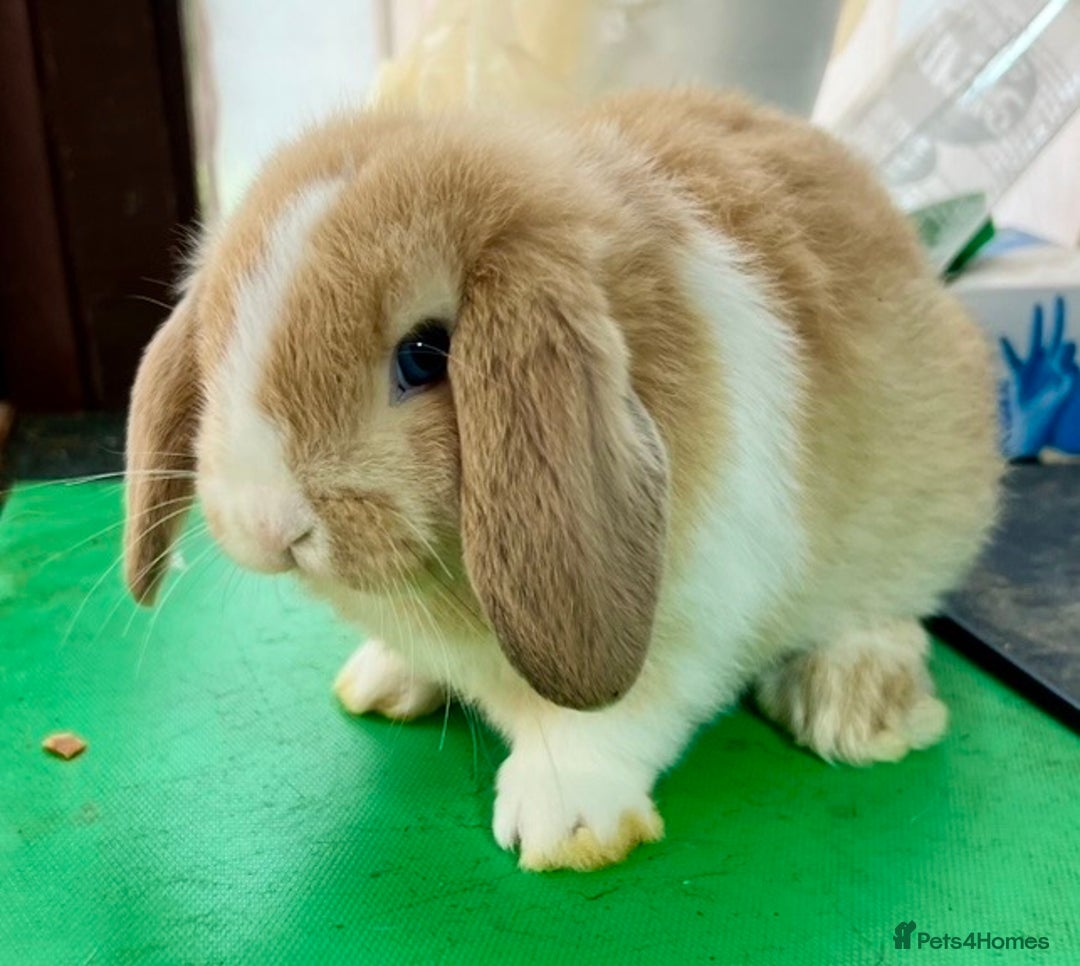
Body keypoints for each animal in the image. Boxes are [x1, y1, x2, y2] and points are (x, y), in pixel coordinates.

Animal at [124, 89, 1002, 871]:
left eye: (425, 356)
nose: (265, 522)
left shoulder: (693, 623)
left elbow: (609, 721)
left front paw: (565, 824)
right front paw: (386, 673)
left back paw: (856, 703)